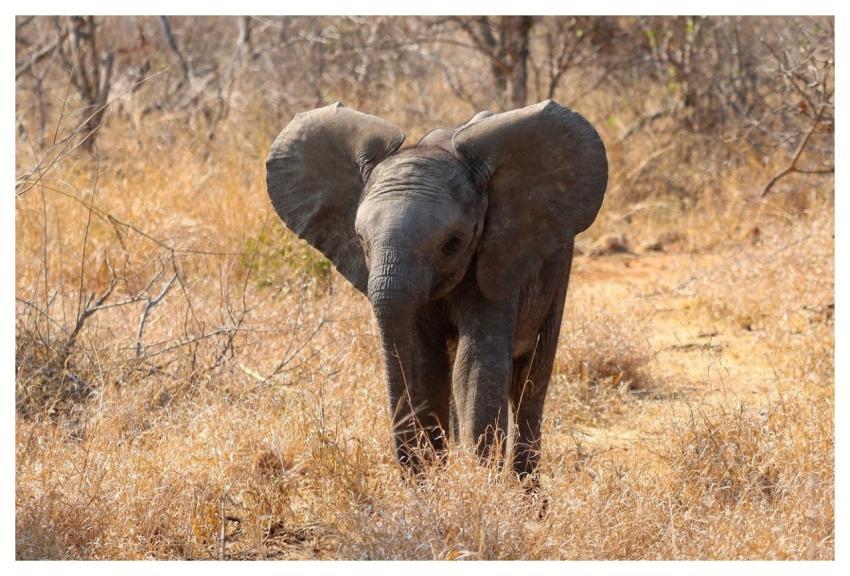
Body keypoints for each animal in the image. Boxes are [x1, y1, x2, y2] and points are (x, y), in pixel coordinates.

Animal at [265, 99, 607, 480]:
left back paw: (525, 489)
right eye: (360, 240)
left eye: (453, 243)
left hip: (558, 263)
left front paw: (477, 482)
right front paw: (439, 478)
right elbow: (423, 362)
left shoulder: (498, 258)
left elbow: (474, 366)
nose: (414, 470)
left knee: (530, 380)